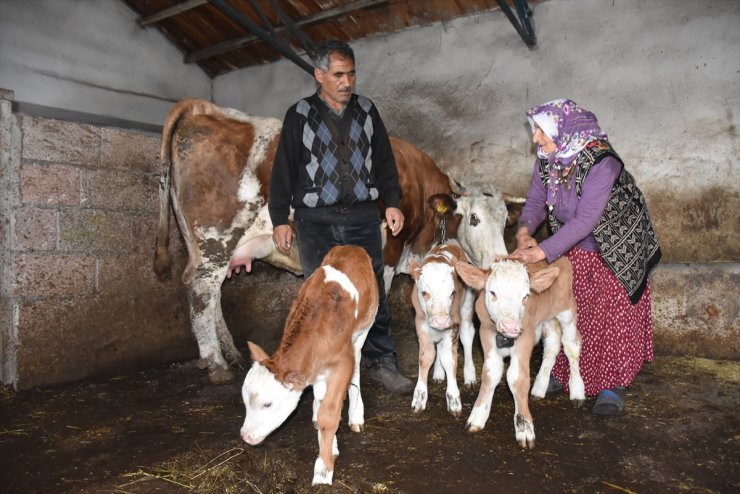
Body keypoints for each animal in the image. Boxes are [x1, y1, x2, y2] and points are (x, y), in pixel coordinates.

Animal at [153, 96, 516, 382]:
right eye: (474, 218)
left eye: (504, 221)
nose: (500, 261)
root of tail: (206, 108)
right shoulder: (387, 250)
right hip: (214, 239)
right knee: (201, 291)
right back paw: (216, 363)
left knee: (213, 295)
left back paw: (231, 353)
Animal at [240, 245, 378, 484]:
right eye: (245, 401)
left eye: (267, 404)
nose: (245, 437)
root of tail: (351, 247)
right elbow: (323, 406)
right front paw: (329, 447)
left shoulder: (343, 362)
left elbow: (329, 414)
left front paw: (323, 471)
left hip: (364, 329)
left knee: (357, 368)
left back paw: (355, 415)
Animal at [408, 239, 476, 416]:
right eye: (424, 292)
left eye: (452, 293)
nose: (441, 321)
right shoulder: (420, 323)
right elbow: (426, 357)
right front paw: (419, 397)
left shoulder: (453, 325)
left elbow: (449, 359)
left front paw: (454, 399)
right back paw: (438, 374)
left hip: (466, 307)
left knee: (467, 337)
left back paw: (470, 376)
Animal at [454, 258, 588, 448]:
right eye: (492, 292)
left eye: (525, 296)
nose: (510, 326)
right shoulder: (486, 333)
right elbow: (490, 374)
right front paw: (477, 416)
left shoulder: (526, 335)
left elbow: (517, 379)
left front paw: (524, 427)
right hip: (546, 317)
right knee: (553, 342)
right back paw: (539, 387)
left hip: (567, 311)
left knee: (571, 345)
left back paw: (577, 391)